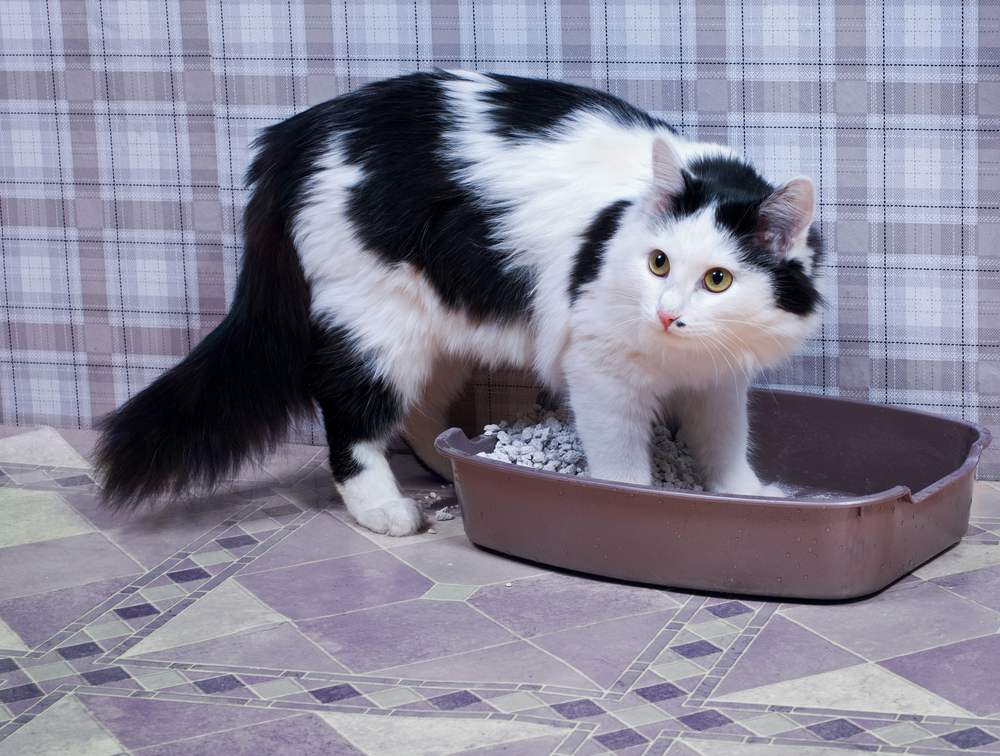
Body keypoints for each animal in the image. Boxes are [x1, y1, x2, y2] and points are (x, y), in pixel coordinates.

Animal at [97, 69, 824, 532]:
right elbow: (623, 465)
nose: (668, 314)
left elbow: (726, 446)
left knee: (418, 415)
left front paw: (748, 499)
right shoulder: (601, 371)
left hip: (434, 328)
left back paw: (451, 467)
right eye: (659, 263)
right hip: (377, 325)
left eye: (718, 281)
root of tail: (296, 135)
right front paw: (640, 506)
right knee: (350, 420)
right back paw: (386, 511)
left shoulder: (719, 381)